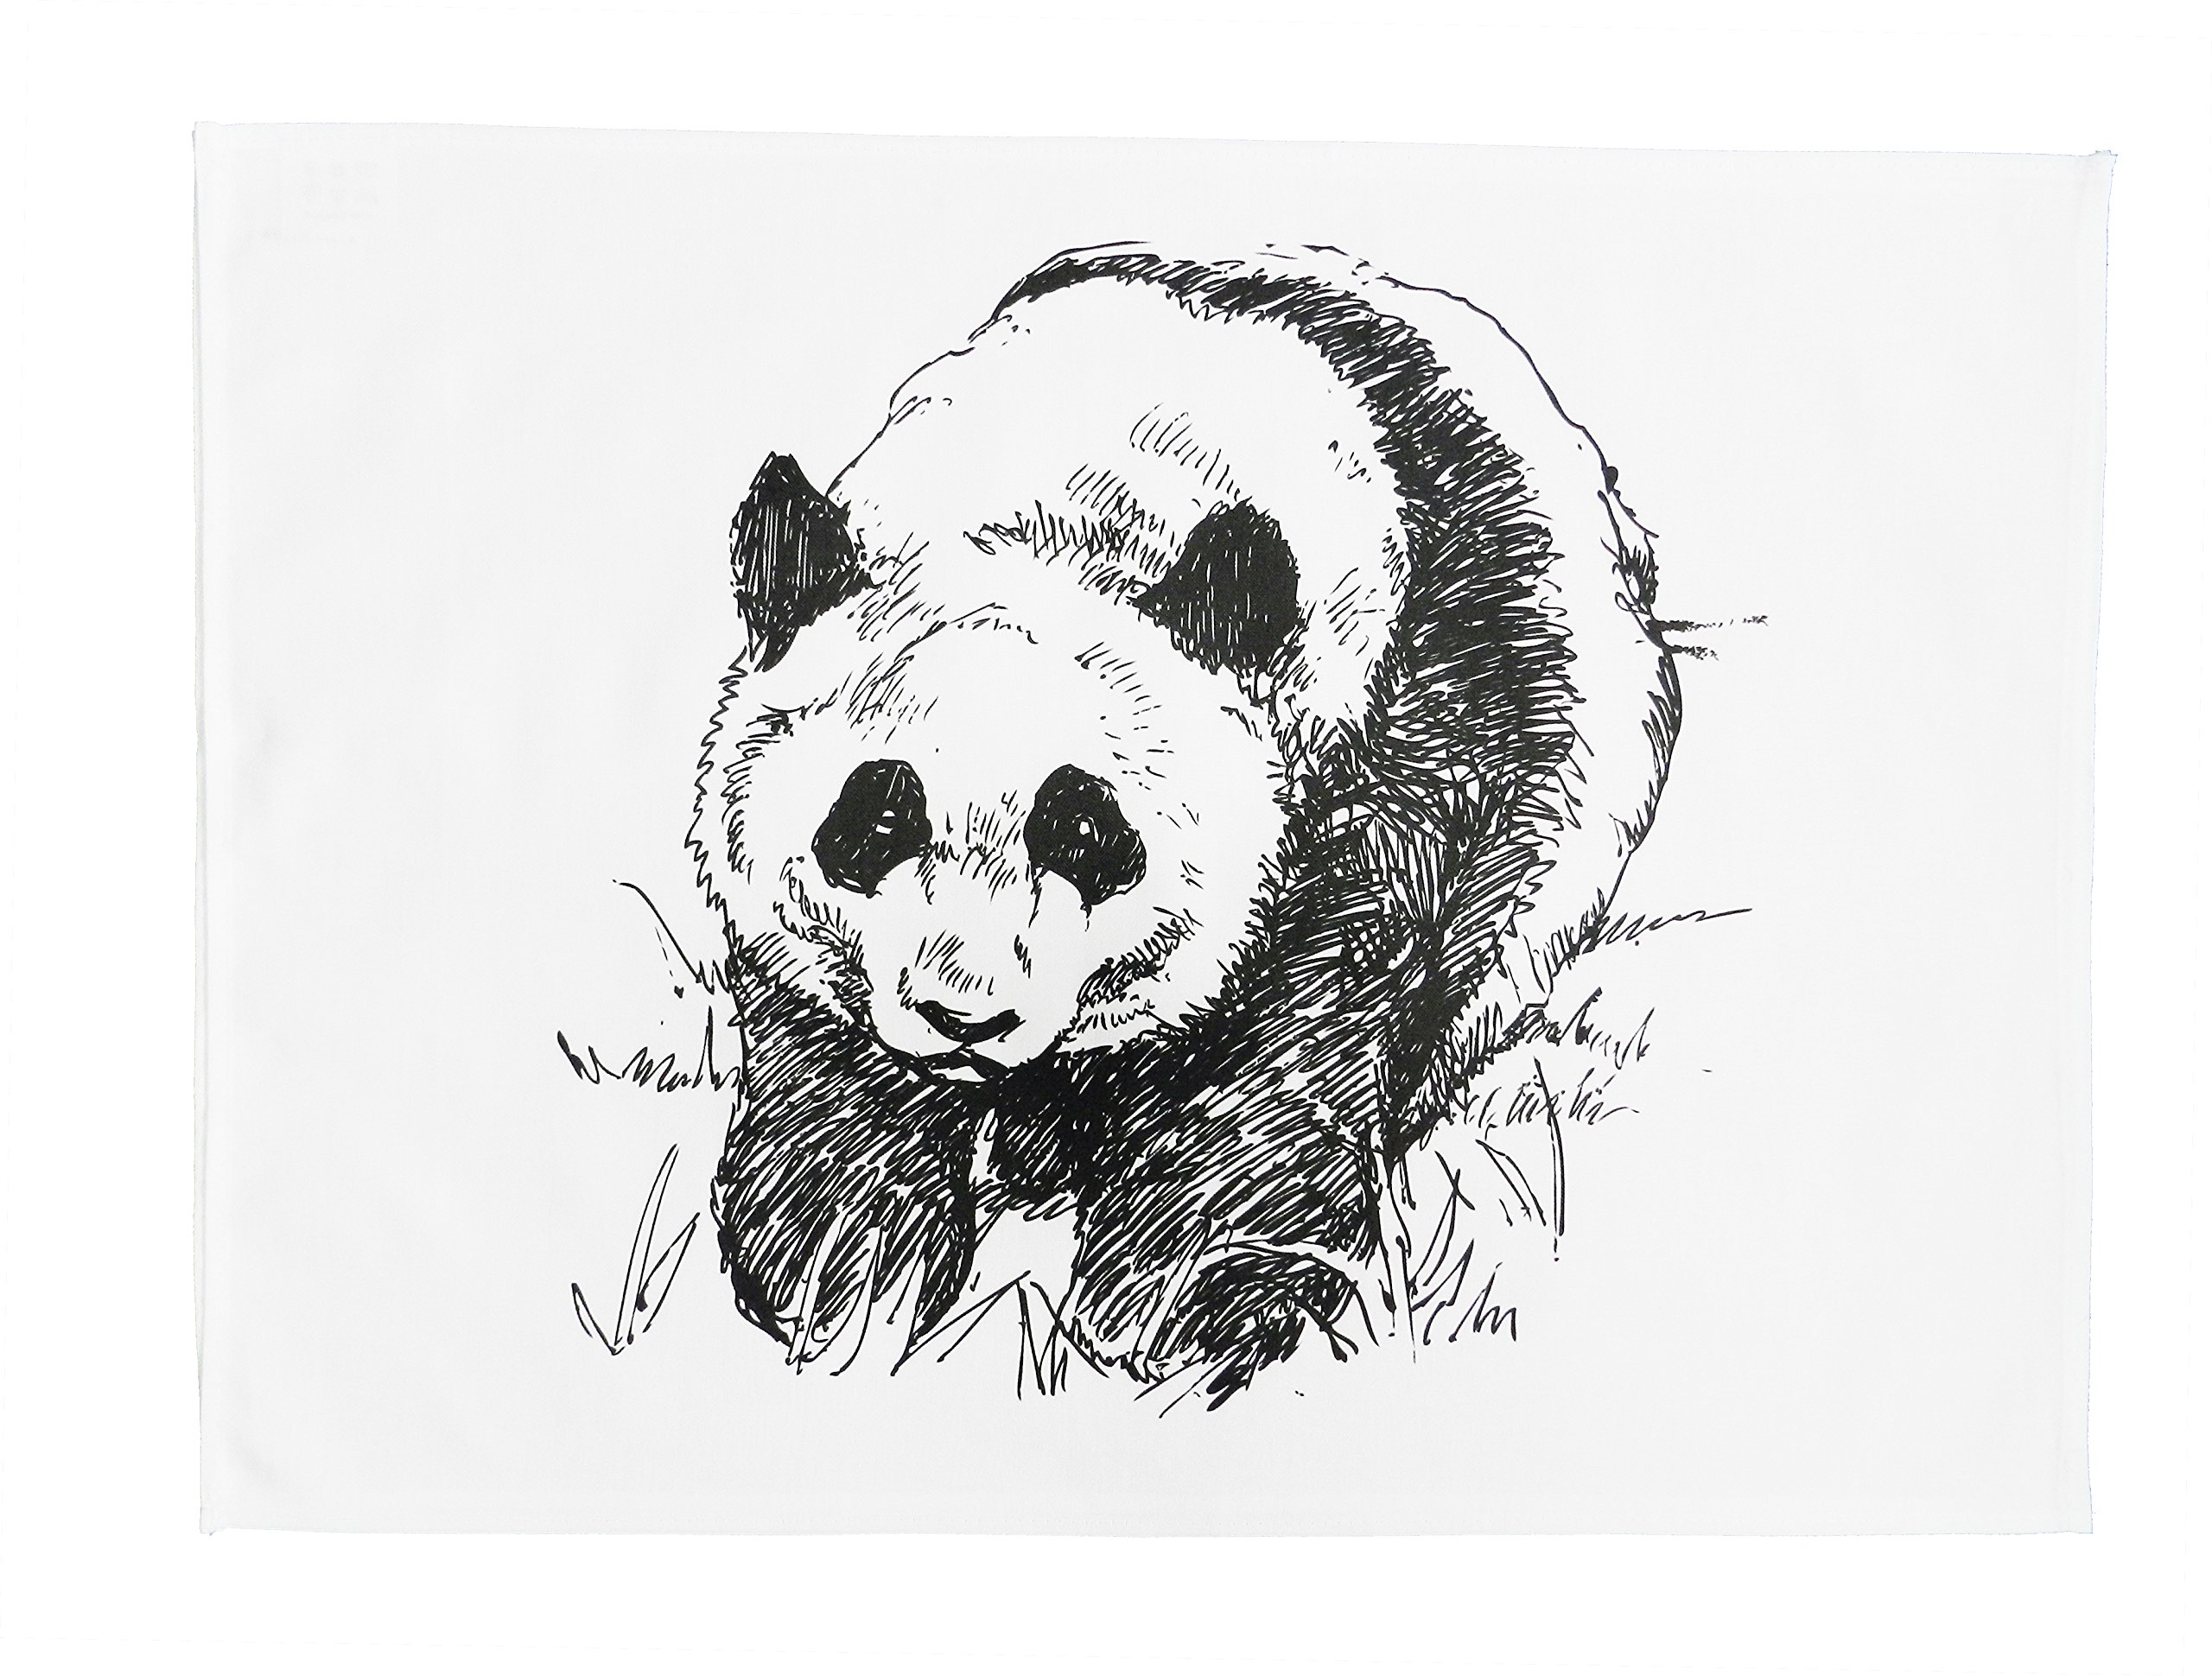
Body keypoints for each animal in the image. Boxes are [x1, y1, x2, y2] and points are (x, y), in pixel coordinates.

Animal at [690, 242, 1680, 1404]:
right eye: (877, 820)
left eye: (1082, 833)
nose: (963, 1016)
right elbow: (824, 1022)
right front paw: (839, 1268)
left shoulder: (1412, 720)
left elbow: (1313, 1006)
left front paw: (1191, 1301)